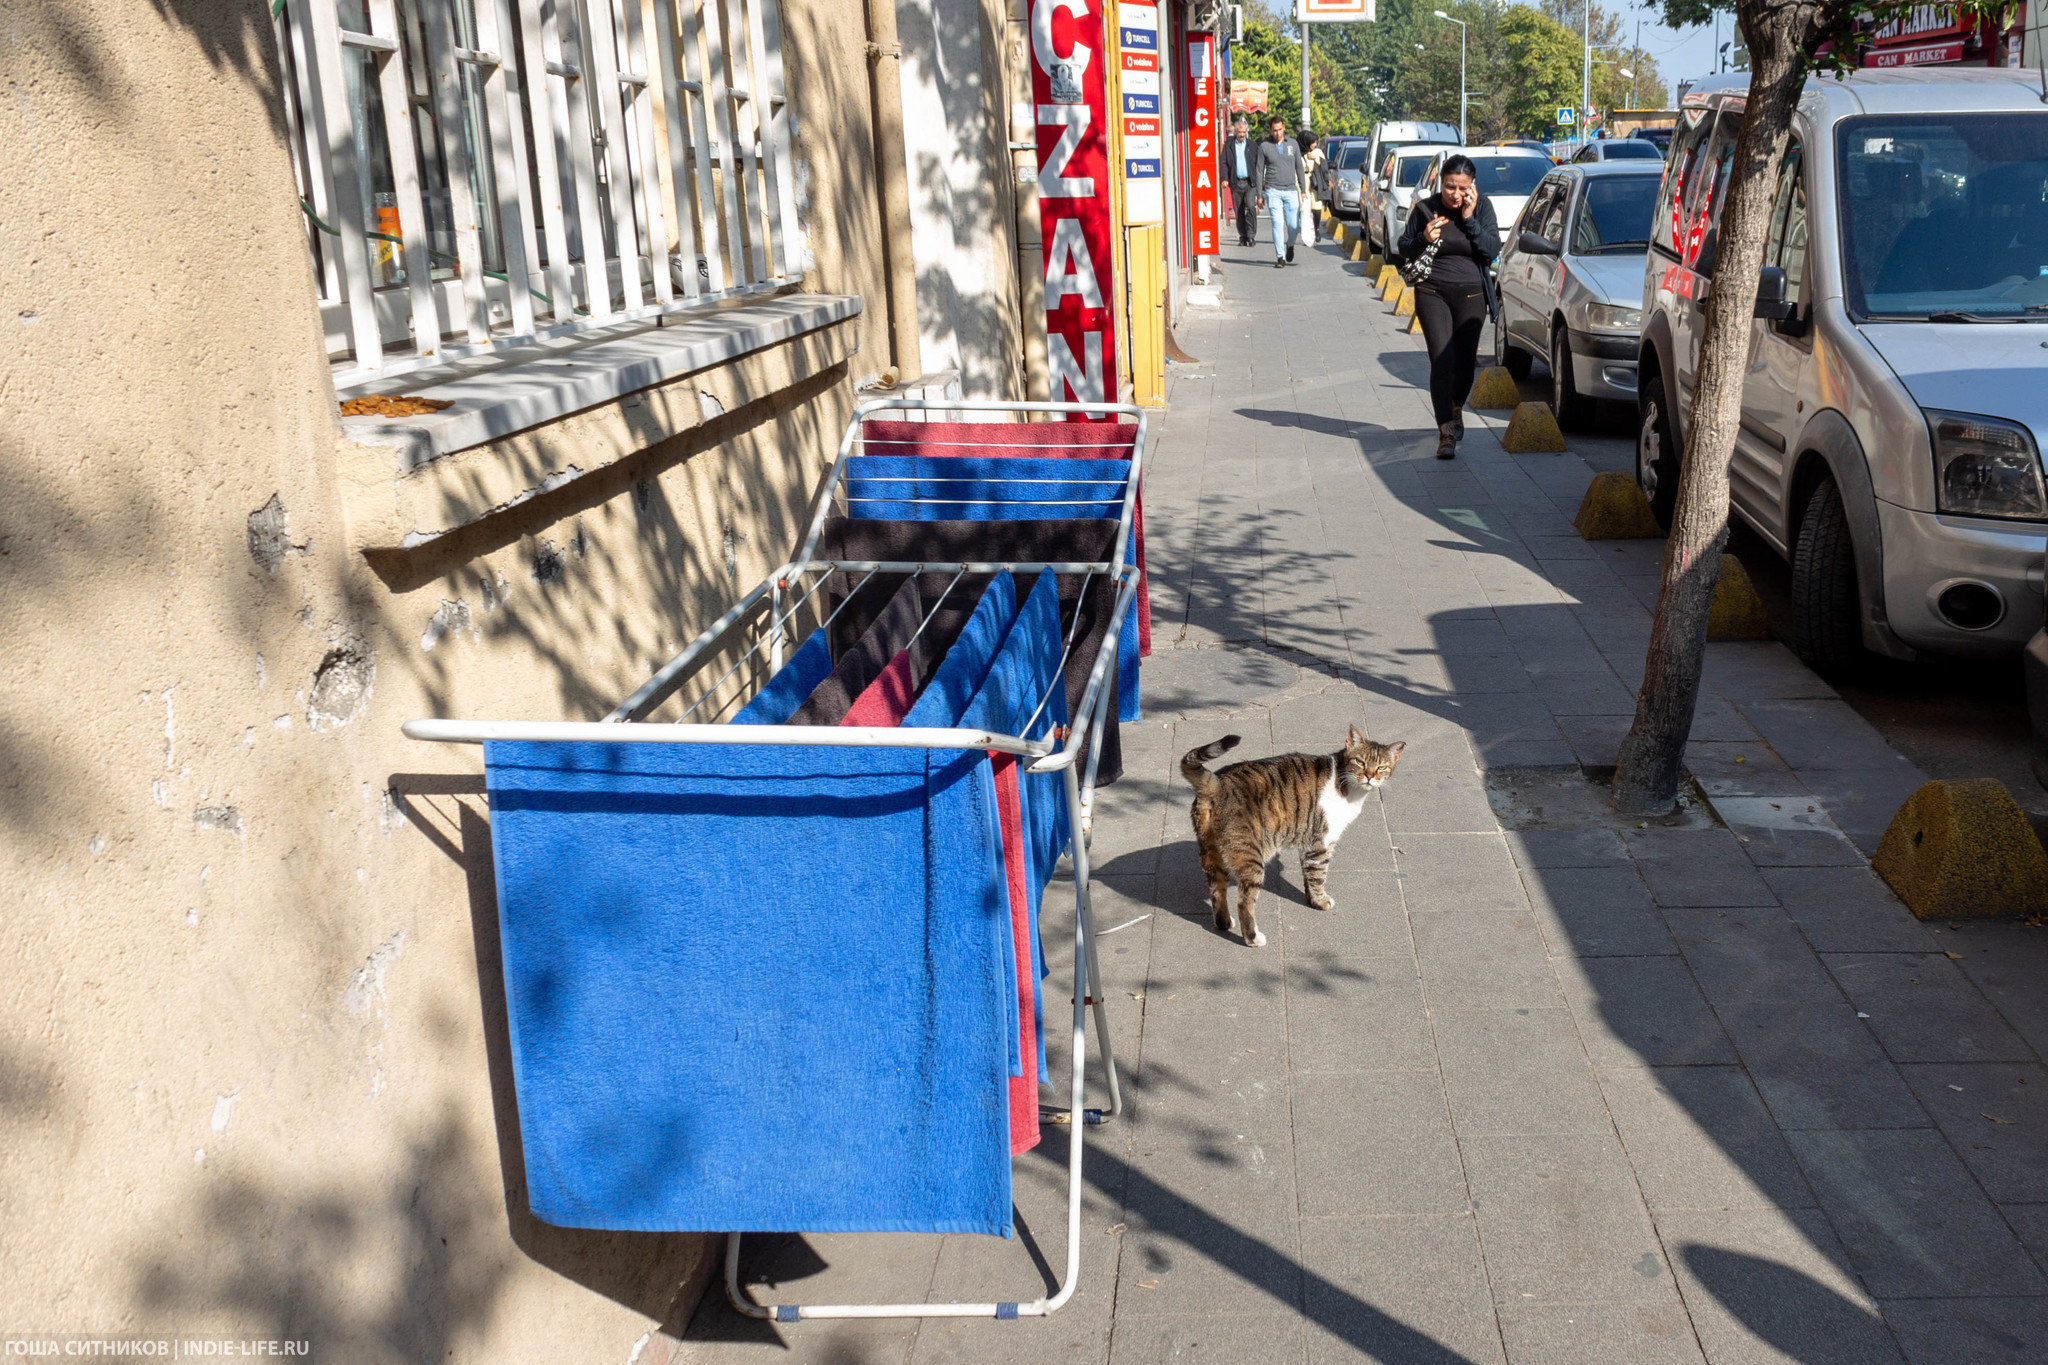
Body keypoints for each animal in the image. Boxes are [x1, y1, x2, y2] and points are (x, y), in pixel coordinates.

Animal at [1187, 724, 1409, 949]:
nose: (1370, 776)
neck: (1346, 785)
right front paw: (1321, 901)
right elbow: (1319, 875)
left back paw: (1224, 922)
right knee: (1244, 903)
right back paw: (1253, 938)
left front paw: (1311, 900)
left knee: (1217, 891)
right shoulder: (1321, 843)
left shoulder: (1309, 844)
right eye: (1360, 762)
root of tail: (1217, 783)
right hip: (1251, 858)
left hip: (1212, 855)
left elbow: (1309, 874)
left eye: (1381, 767)